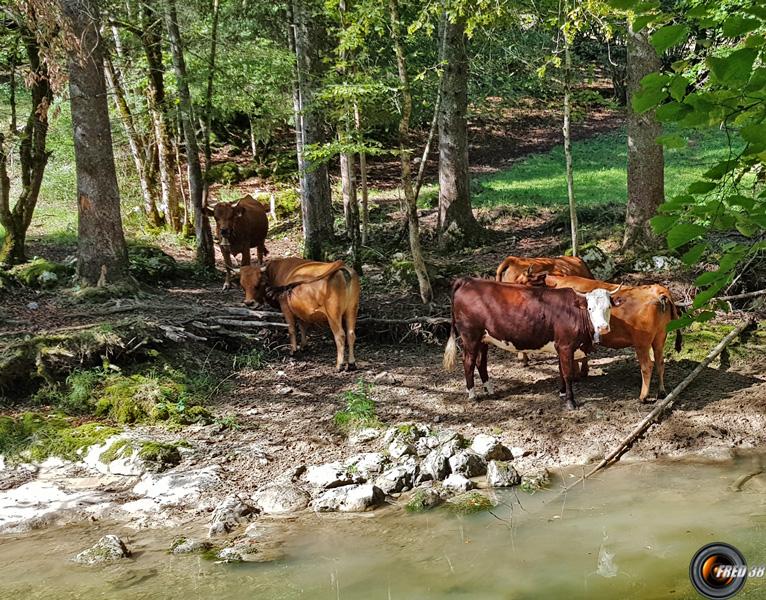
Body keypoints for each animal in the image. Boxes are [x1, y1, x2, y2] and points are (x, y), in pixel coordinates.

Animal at [444, 278, 616, 410]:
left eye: (608, 307)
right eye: (590, 308)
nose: (602, 327)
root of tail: (468, 280)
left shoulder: (560, 347)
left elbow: (561, 371)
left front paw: (561, 393)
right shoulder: (566, 346)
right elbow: (567, 374)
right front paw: (570, 402)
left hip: (484, 338)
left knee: (481, 362)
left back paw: (490, 390)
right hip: (470, 336)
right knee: (468, 362)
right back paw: (472, 395)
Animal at [544, 276, 688, 404]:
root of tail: (659, 291)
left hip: (641, 343)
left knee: (647, 366)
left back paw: (643, 397)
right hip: (660, 337)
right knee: (660, 362)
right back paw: (661, 392)